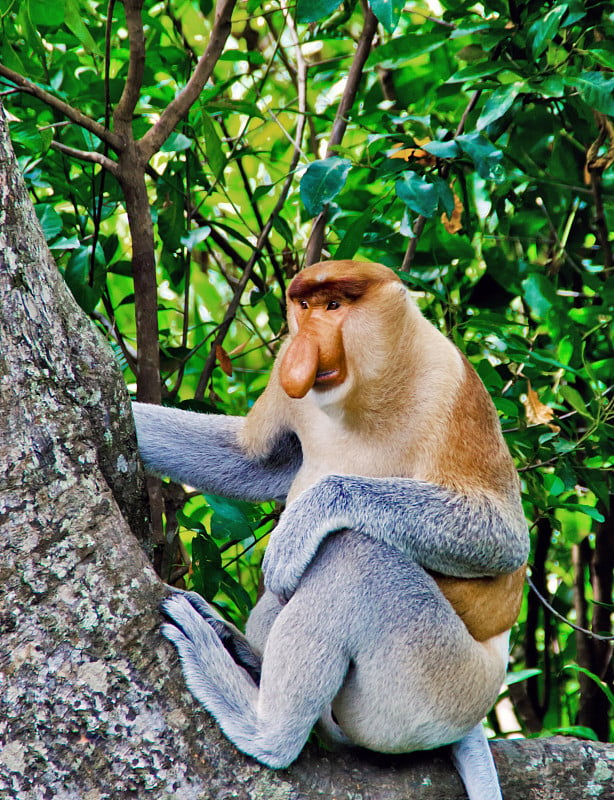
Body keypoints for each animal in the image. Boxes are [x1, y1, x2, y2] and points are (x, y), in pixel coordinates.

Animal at [134, 260, 528, 800]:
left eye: (335, 306)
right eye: (304, 306)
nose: (303, 347)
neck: (363, 395)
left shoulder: (451, 384)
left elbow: (504, 540)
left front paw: (301, 526)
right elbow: (254, 459)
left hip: (437, 685)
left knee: (353, 555)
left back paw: (261, 724)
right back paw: (238, 647)